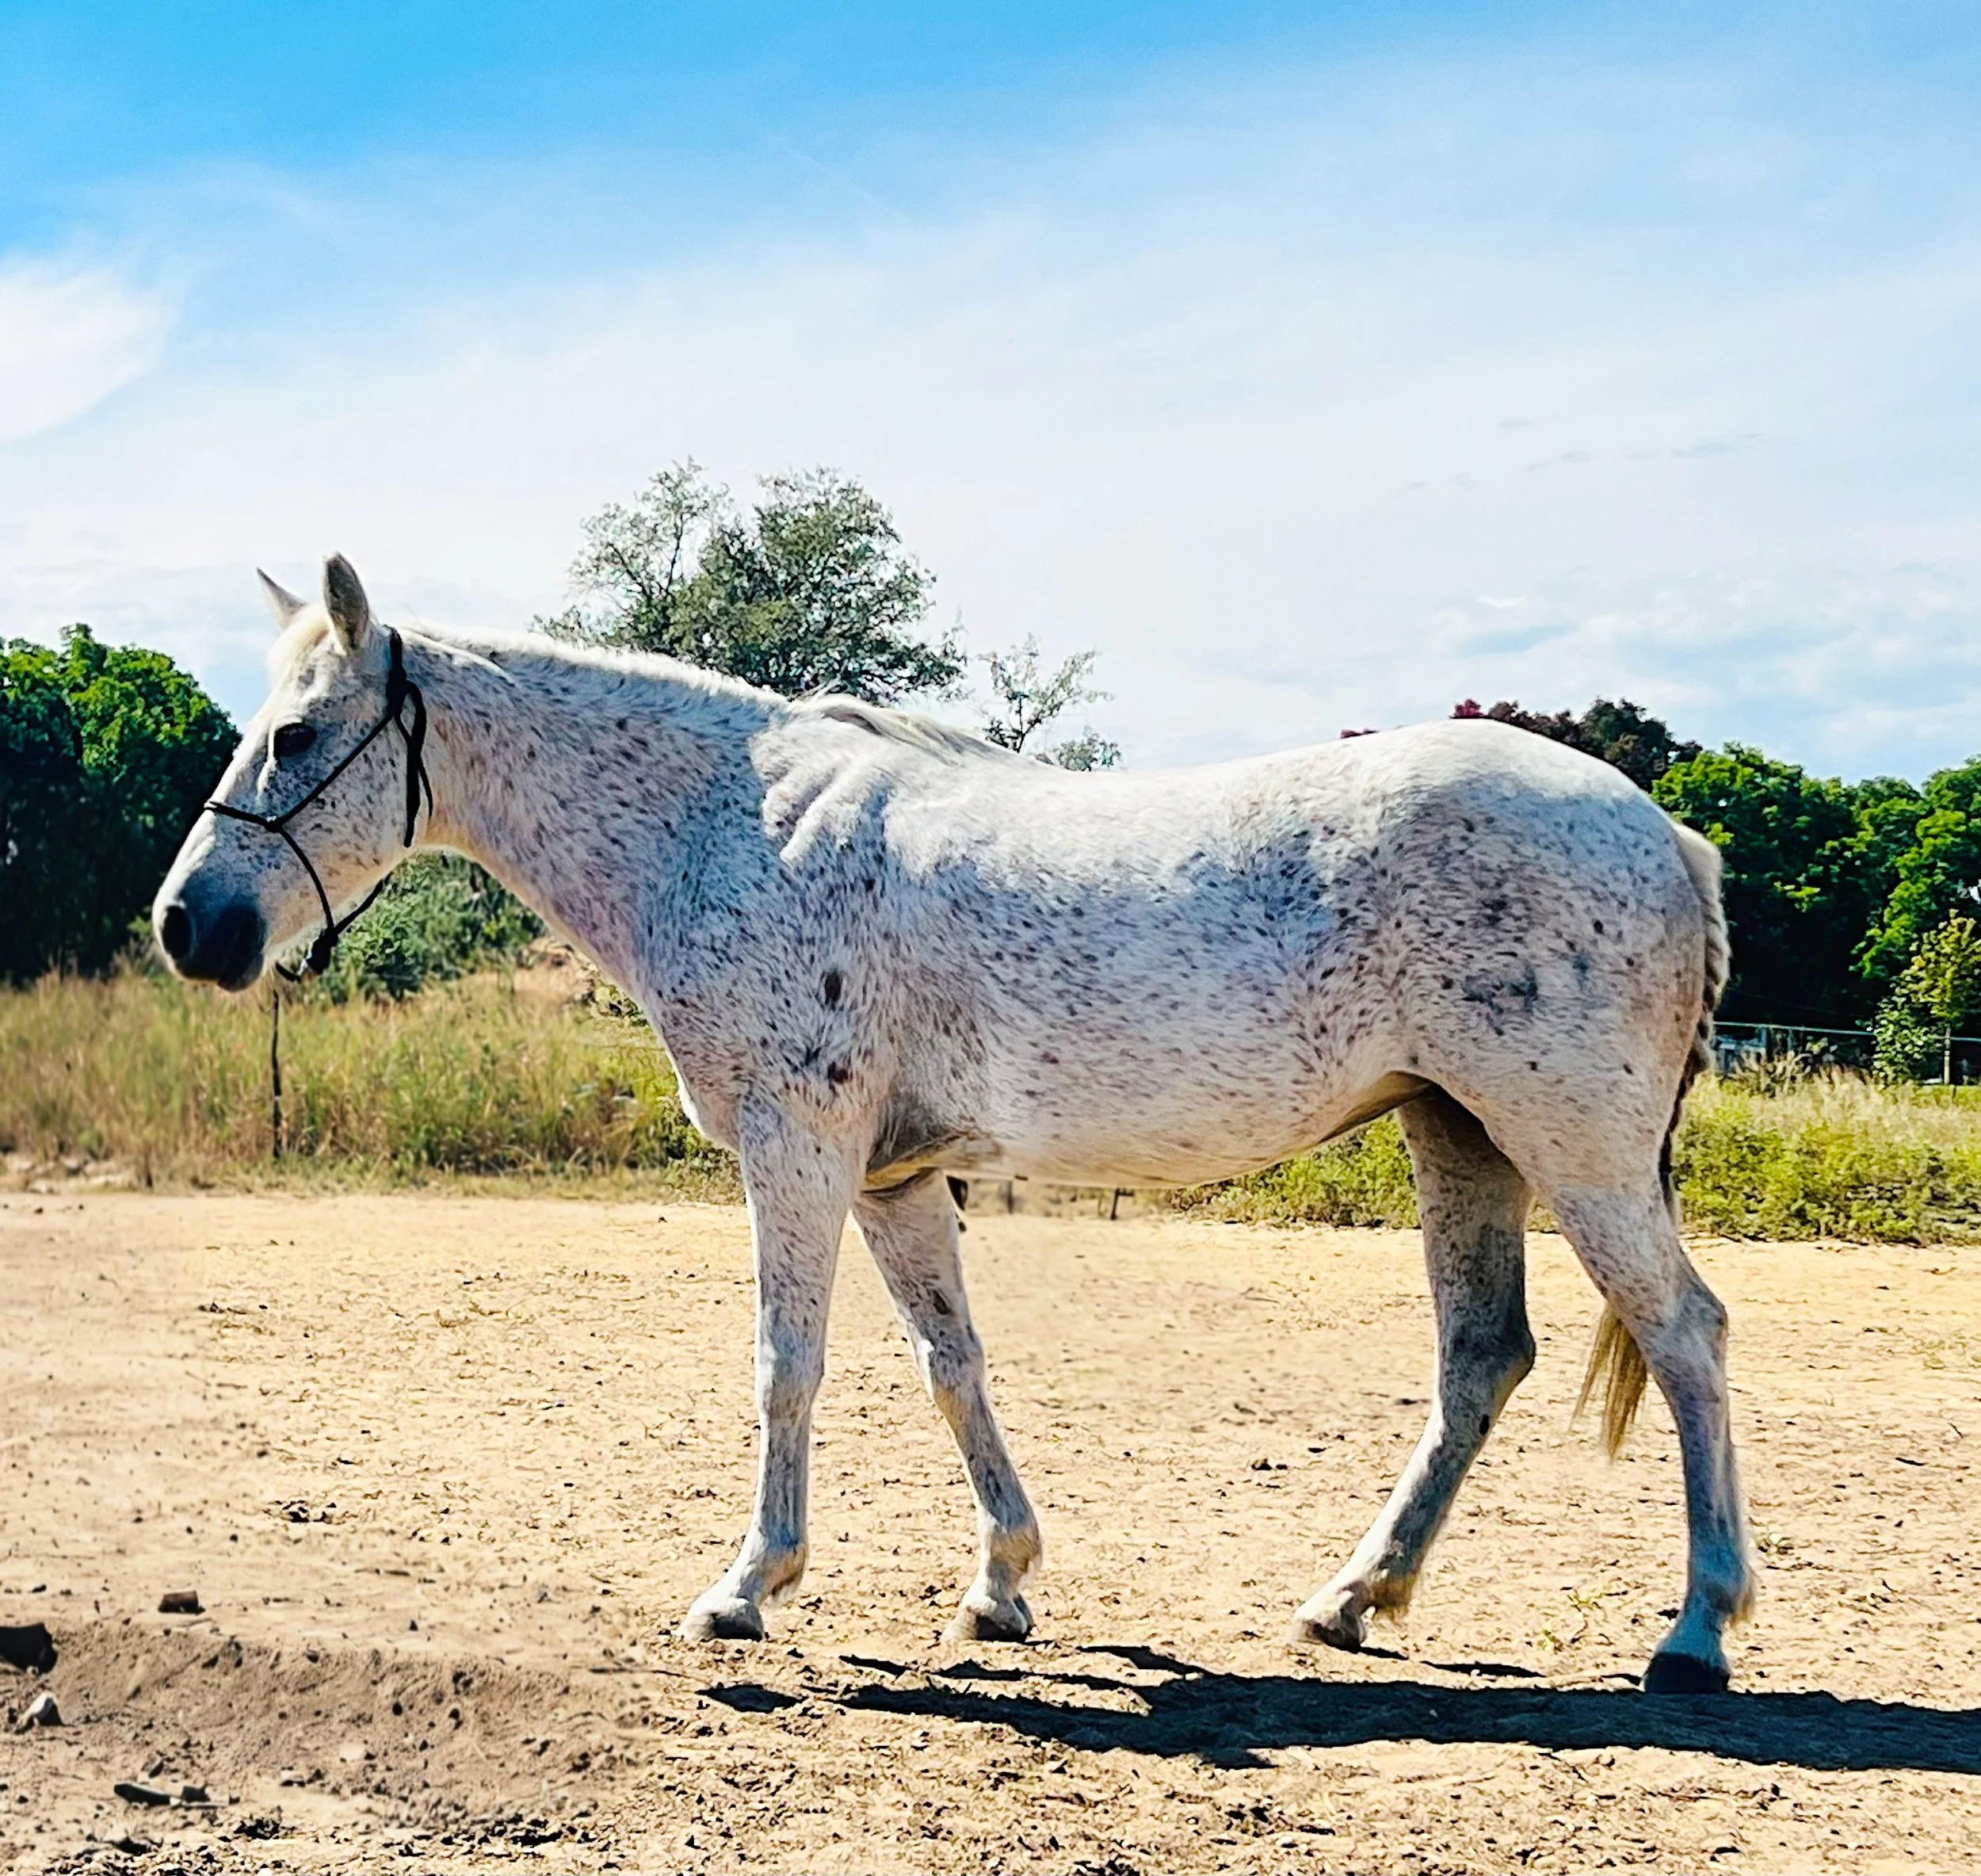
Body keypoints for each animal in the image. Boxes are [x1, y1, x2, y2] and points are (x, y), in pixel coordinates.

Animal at [153, 555, 1751, 1694]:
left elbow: (785, 1368)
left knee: (1683, 1335)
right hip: (1459, 1134)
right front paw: (1000, 1584)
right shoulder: (895, 1178)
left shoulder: (796, 1151)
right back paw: (1353, 1600)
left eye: (296, 733)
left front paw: (746, 1589)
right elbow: (951, 1366)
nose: (189, 926)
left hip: (1573, 1148)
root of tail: (1666, 832)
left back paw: (1696, 1631)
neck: (733, 827)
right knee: (1482, 1358)